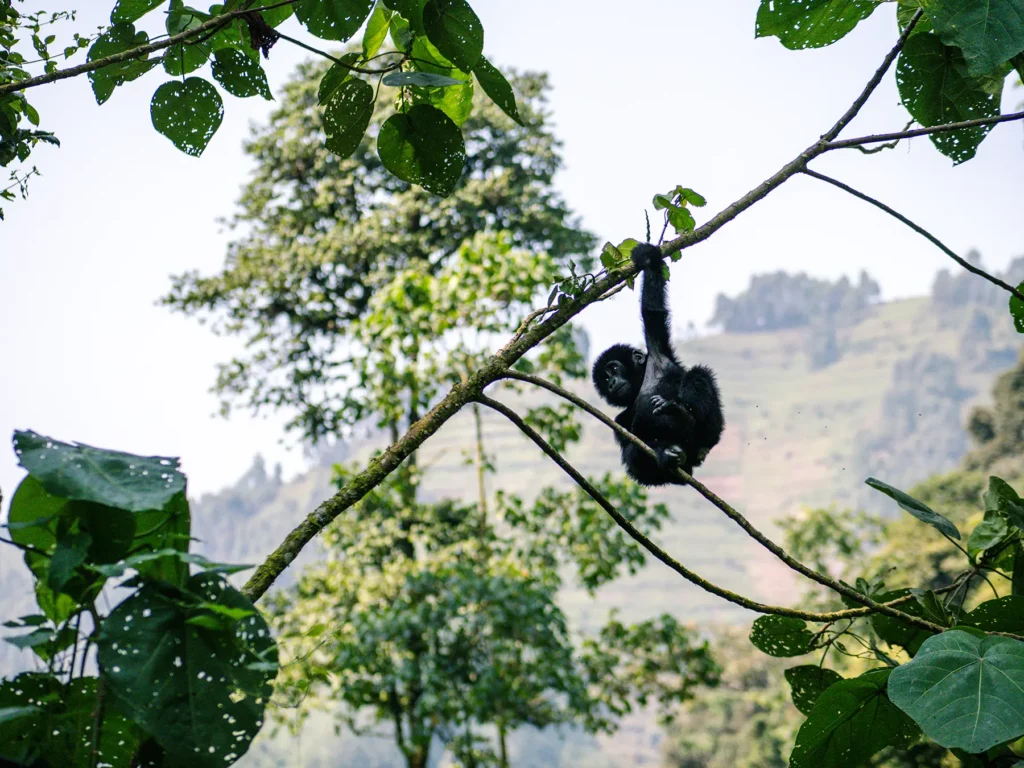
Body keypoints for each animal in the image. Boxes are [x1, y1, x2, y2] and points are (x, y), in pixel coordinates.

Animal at [592, 243, 724, 485]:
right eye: (605, 380)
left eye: (613, 368)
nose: (612, 383)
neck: (640, 384)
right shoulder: (619, 419)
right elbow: (629, 445)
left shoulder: (658, 351)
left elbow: (652, 312)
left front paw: (647, 257)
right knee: (634, 456)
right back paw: (669, 456)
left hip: (711, 432)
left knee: (698, 375)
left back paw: (682, 413)